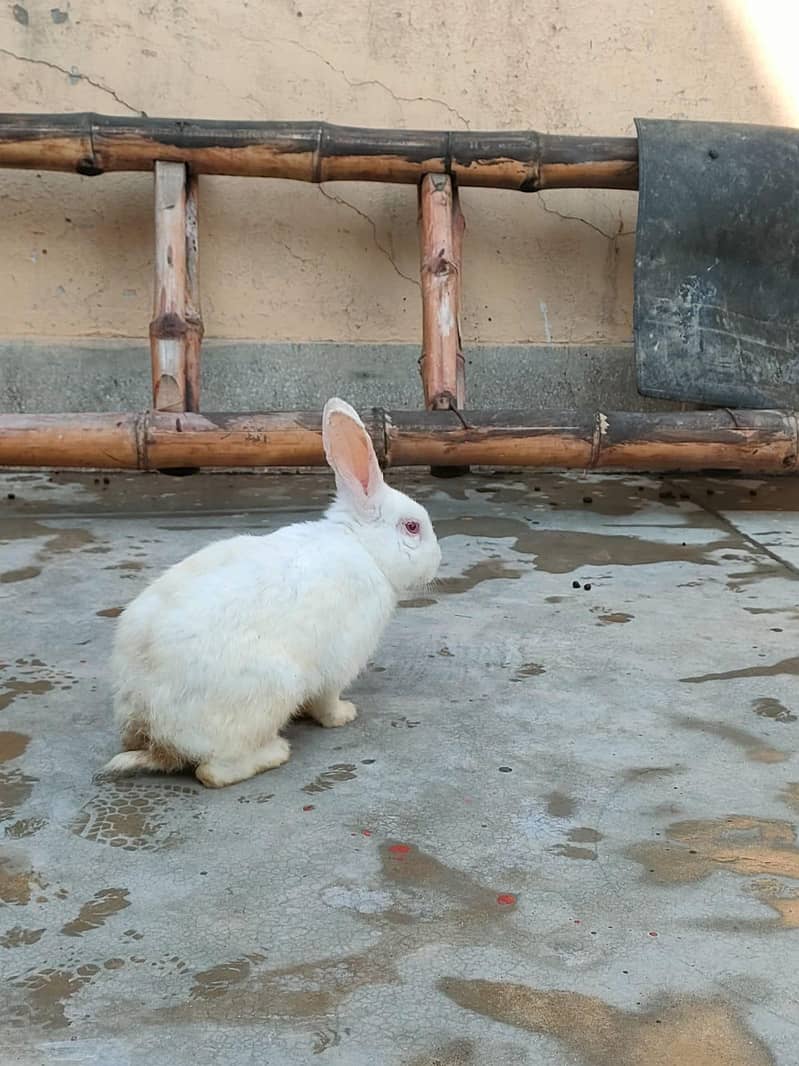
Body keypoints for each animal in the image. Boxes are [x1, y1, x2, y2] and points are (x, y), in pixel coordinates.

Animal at [100, 397, 441, 789]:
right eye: (412, 527)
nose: (438, 561)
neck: (363, 547)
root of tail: (154, 729)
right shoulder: (339, 661)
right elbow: (327, 700)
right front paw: (344, 714)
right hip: (273, 690)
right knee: (212, 772)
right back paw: (276, 752)